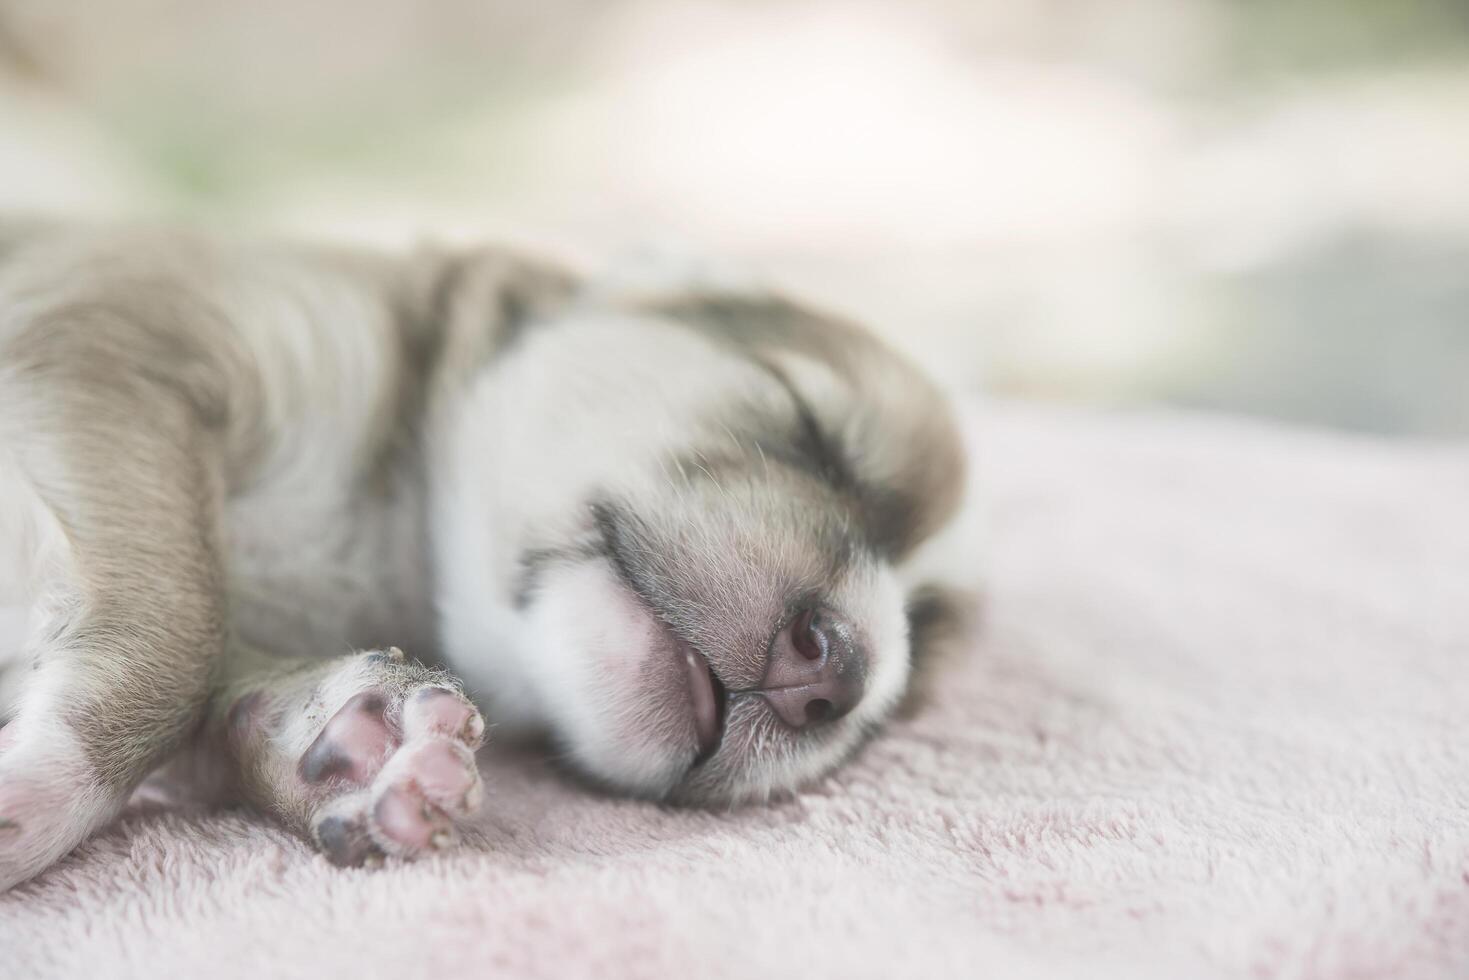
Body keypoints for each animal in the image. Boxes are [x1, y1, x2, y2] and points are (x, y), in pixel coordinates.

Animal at [0, 224, 963, 887]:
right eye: (810, 432)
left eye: (916, 645)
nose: (839, 673)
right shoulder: (98, 332)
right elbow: (182, 623)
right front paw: (39, 793)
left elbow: (211, 660)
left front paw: (355, 744)